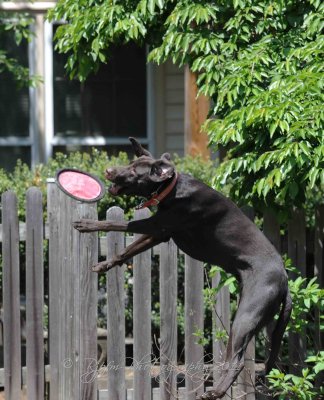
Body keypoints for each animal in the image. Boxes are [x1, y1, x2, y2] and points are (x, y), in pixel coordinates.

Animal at [73, 137, 292, 396]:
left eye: (135, 172)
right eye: (130, 163)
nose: (108, 171)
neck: (172, 188)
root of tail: (285, 280)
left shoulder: (156, 224)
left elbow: (118, 223)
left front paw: (87, 224)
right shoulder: (160, 233)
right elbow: (127, 250)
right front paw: (105, 265)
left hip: (246, 316)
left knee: (238, 361)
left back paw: (216, 392)